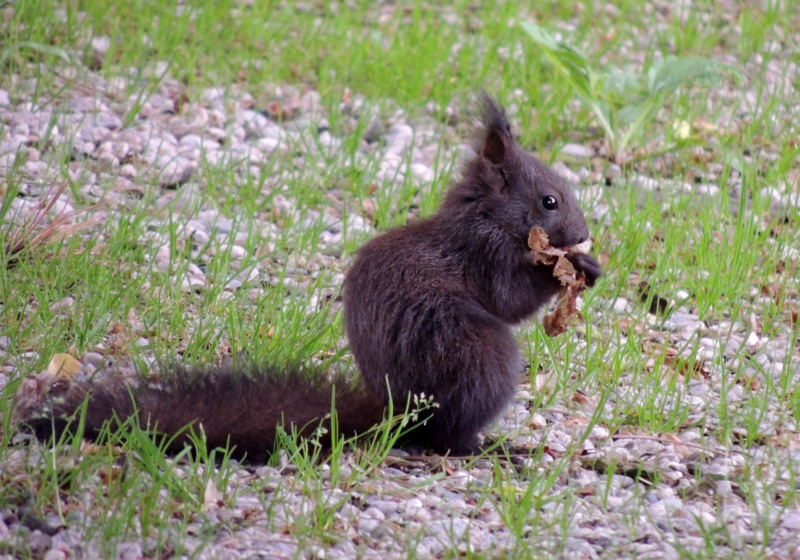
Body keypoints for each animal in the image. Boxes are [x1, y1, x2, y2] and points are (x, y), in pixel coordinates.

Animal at [12, 93, 600, 460]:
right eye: (549, 201)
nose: (583, 231)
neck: (487, 216)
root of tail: (397, 412)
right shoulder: (484, 254)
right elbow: (508, 298)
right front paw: (577, 269)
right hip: (483, 359)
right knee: (448, 437)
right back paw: (490, 447)